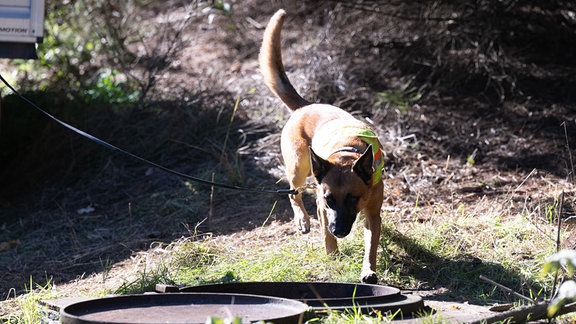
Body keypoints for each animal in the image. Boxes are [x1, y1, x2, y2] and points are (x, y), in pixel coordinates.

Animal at [260, 9, 384, 284]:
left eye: (352, 198)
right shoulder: (322, 204)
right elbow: (323, 226)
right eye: (330, 199)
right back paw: (302, 220)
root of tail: (304, 106)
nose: (339, 230)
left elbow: (371, 246)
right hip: (300, 166)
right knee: (293, 192)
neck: (347, 155)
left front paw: (368, 270)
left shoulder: (372, 213)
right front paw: (332, 251)